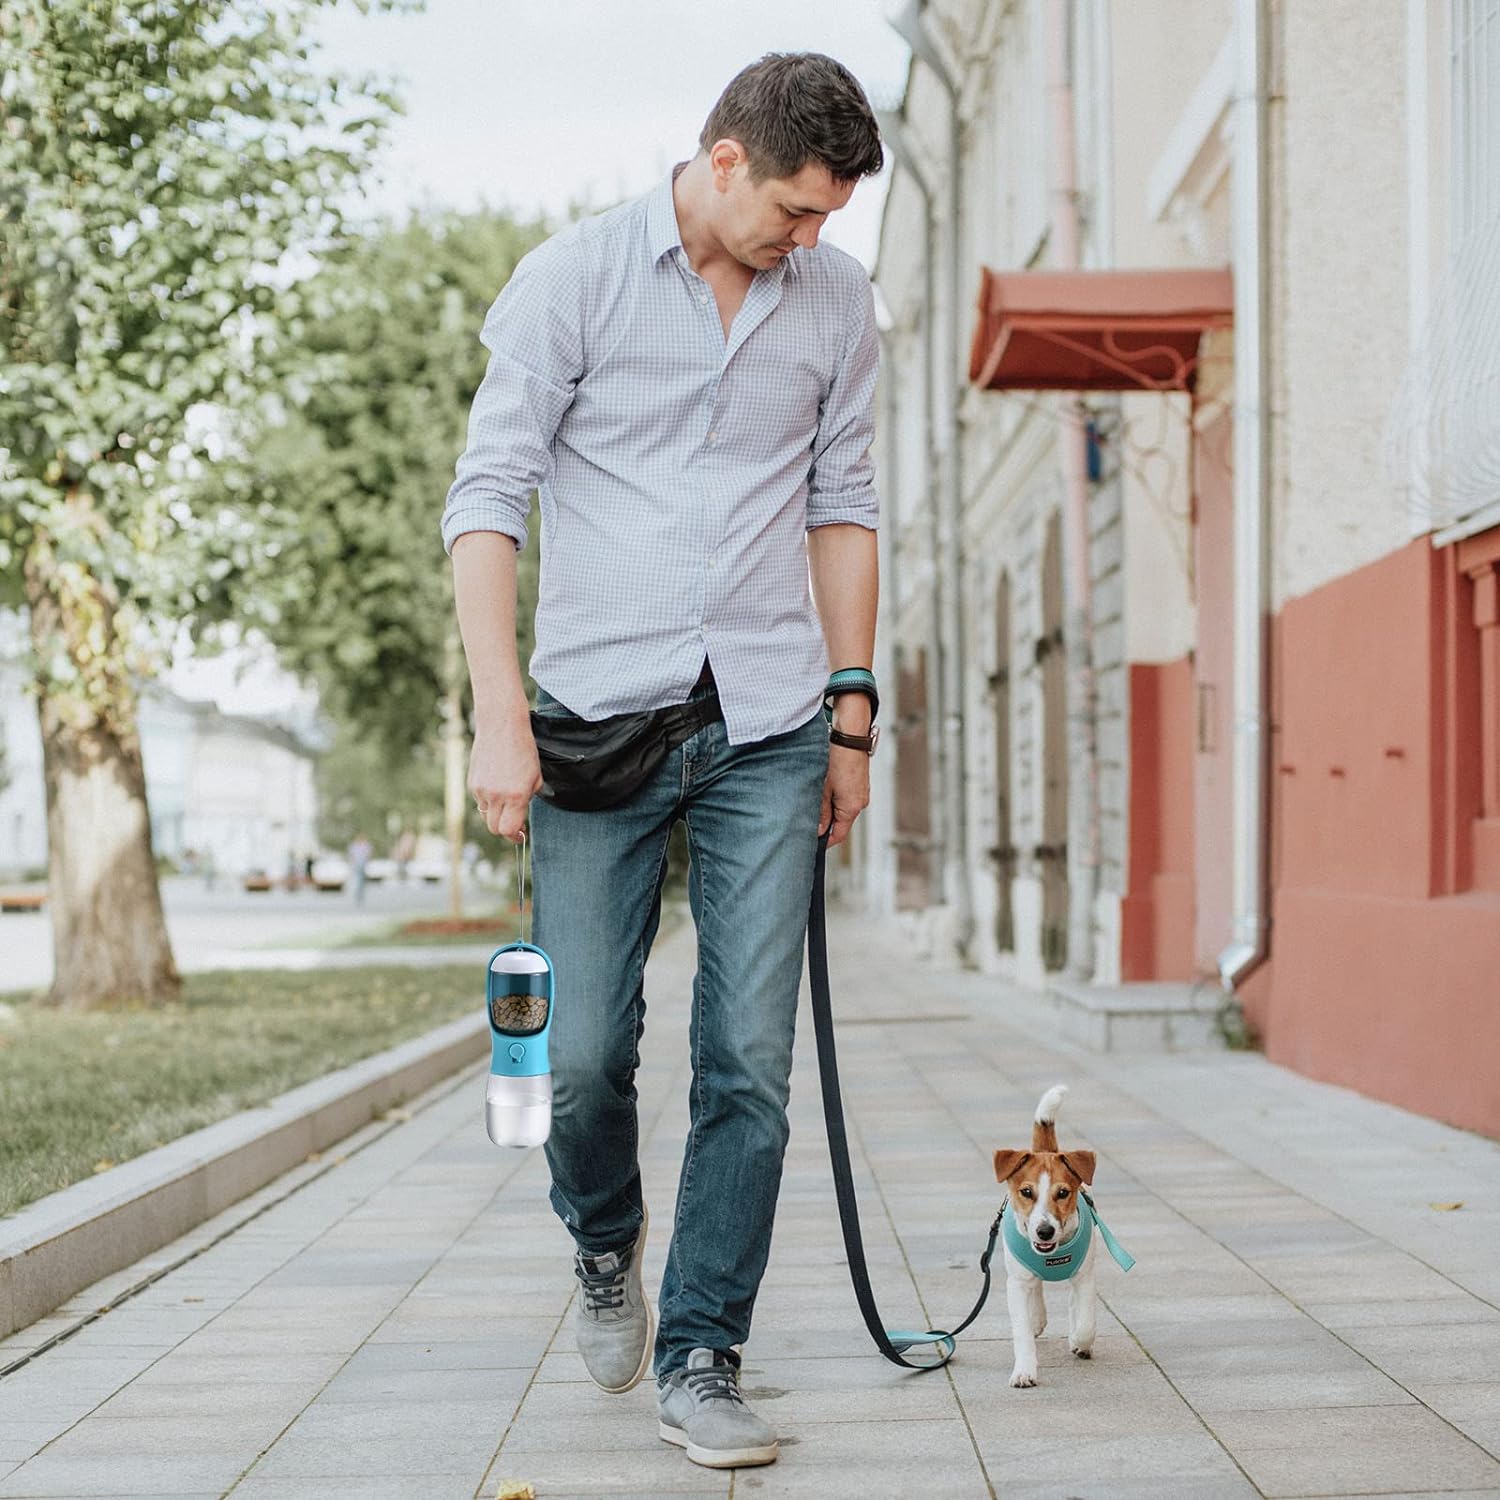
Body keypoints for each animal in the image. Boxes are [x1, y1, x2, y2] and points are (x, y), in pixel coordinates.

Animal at [996, 1086, 1104, 1386]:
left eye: (1063, 1192)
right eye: (1026, 1192)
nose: (1045, 1231)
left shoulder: (1085, 1276)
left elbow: (1086, 1321)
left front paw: (1079, 1342)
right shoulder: (1016, 1283)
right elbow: (1021, 1330)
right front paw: (1024, 1371)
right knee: (1037, 1289)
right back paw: (1036, 1319)